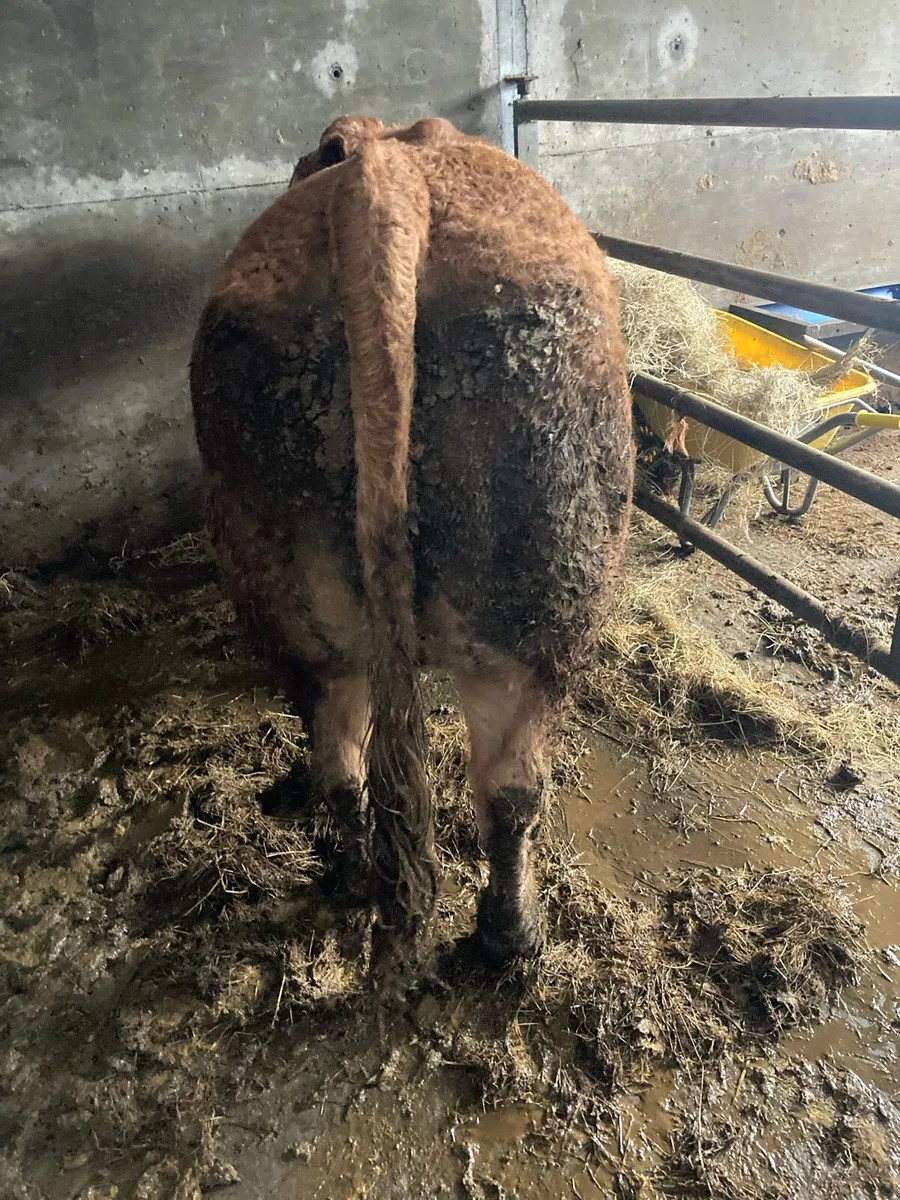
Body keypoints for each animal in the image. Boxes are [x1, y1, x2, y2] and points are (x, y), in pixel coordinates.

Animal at [189, 115, 633, 969]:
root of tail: (385, 180)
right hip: (543, 620)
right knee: (511, 789)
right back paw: (512, 937)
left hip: (305, 612)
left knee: (347, 766)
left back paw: (362, 884)